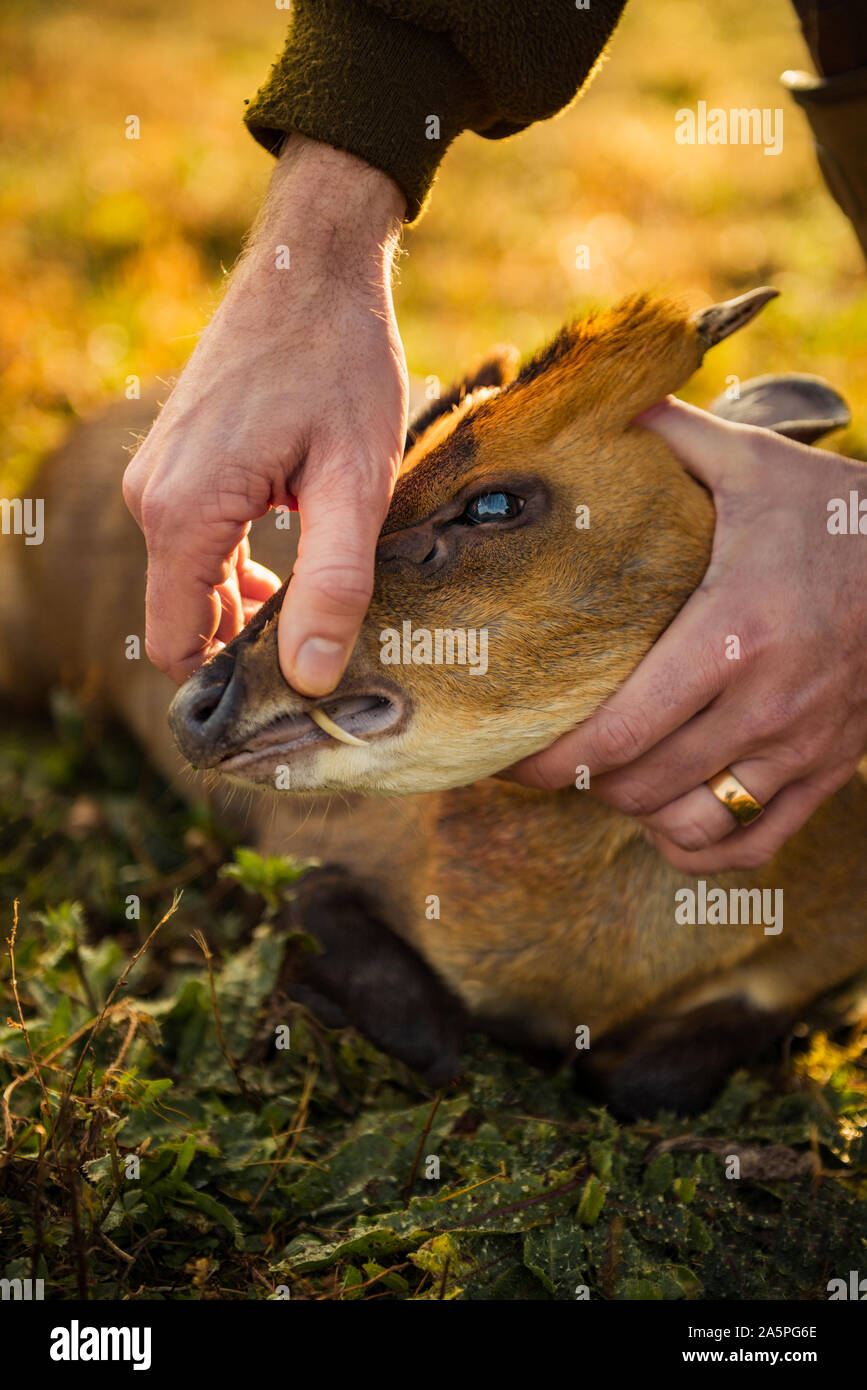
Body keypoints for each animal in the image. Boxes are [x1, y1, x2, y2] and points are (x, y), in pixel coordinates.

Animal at [3, 287, 861, 1112]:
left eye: (493, 505)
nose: (196, 708)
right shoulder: (302, 849)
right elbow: (440, 1038)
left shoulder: (822, 951)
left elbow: (654, 1077)